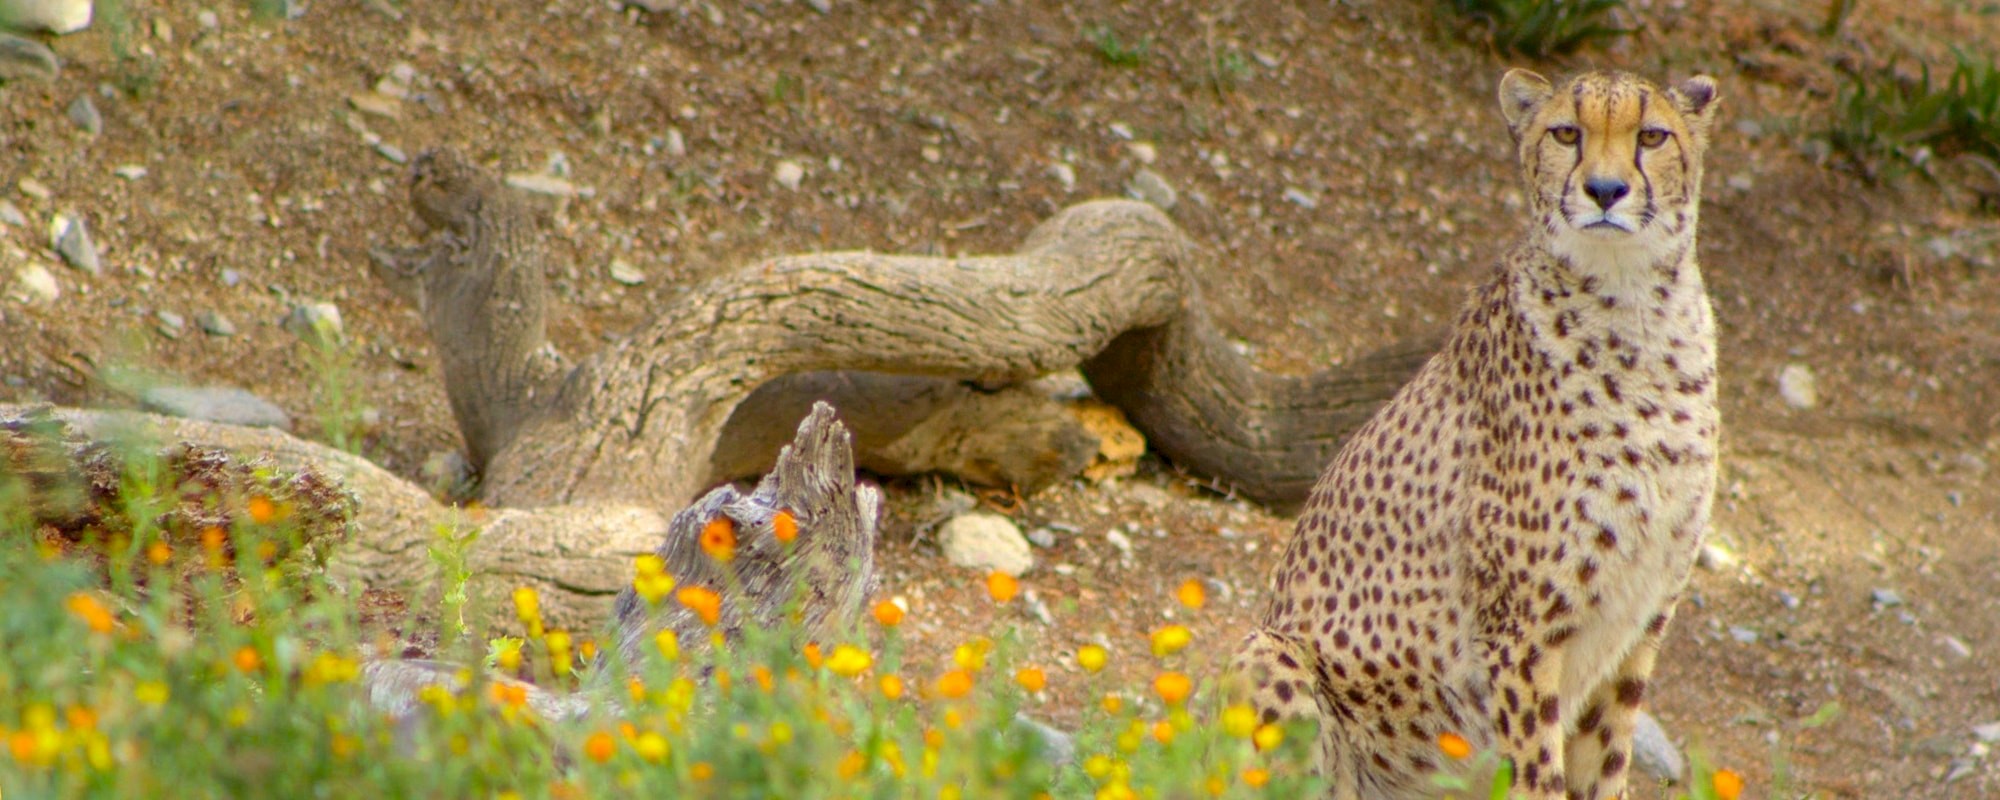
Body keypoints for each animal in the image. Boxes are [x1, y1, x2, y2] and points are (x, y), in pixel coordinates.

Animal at [1232, 70, 1720, 800]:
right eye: (1566, 133)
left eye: (1652, 136)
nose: (1605, 190)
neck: (1634, 306)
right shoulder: (1521, 633)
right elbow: (1538, 772)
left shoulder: (1641, 623)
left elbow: (1605, 763)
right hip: (1269, 650)